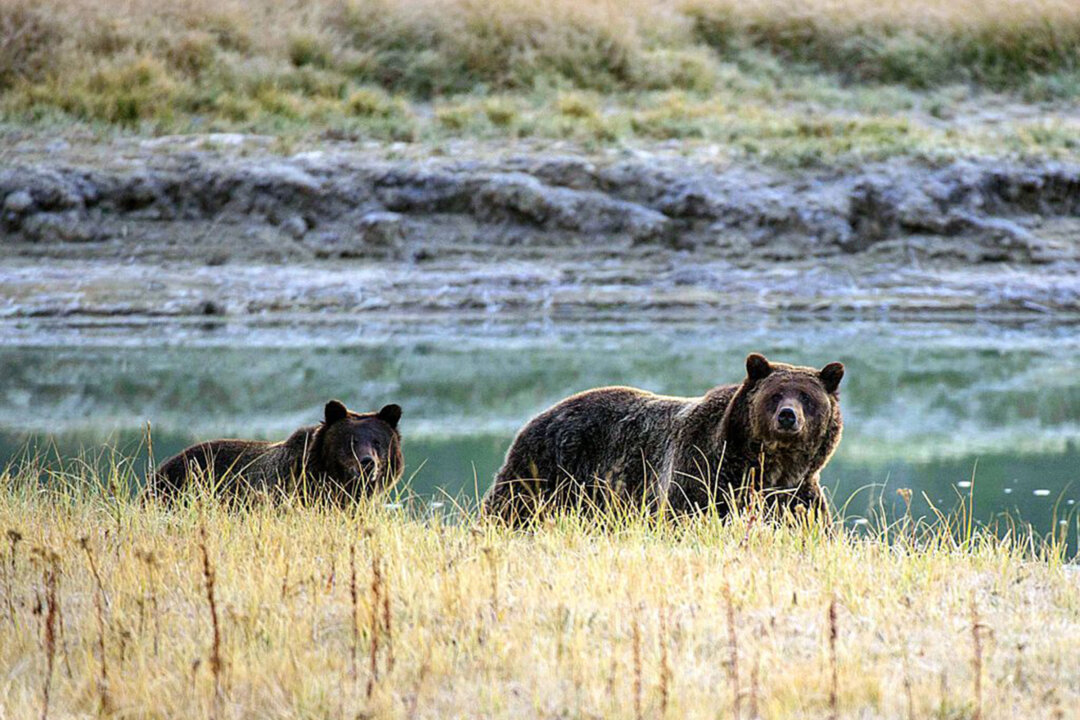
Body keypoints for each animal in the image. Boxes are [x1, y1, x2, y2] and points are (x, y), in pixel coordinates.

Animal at [483, 353, 843, 524]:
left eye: (807, 397)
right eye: (775, 394)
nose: (788, 416)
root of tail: (539, 415)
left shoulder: (795, 494)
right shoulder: (702, 474)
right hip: (546, 469)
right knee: (511, 508)